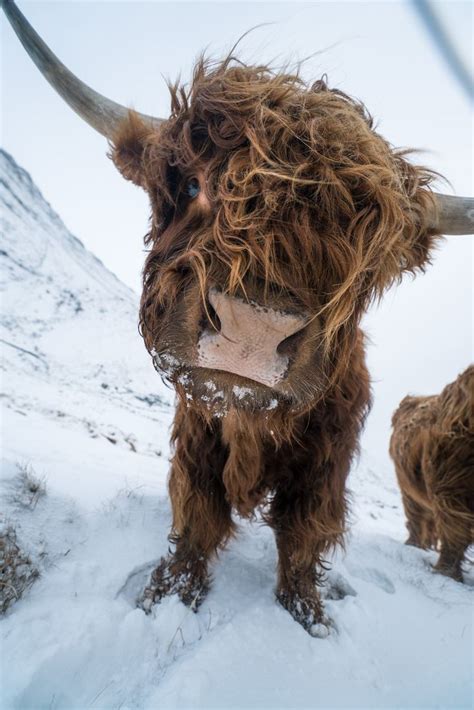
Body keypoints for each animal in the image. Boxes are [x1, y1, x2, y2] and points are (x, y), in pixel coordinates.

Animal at [390, 368, 472, 584]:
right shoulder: (451, 491)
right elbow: (455, 533)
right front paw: (447, 573)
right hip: (410, 490)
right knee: (418, 519)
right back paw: (414, 545)